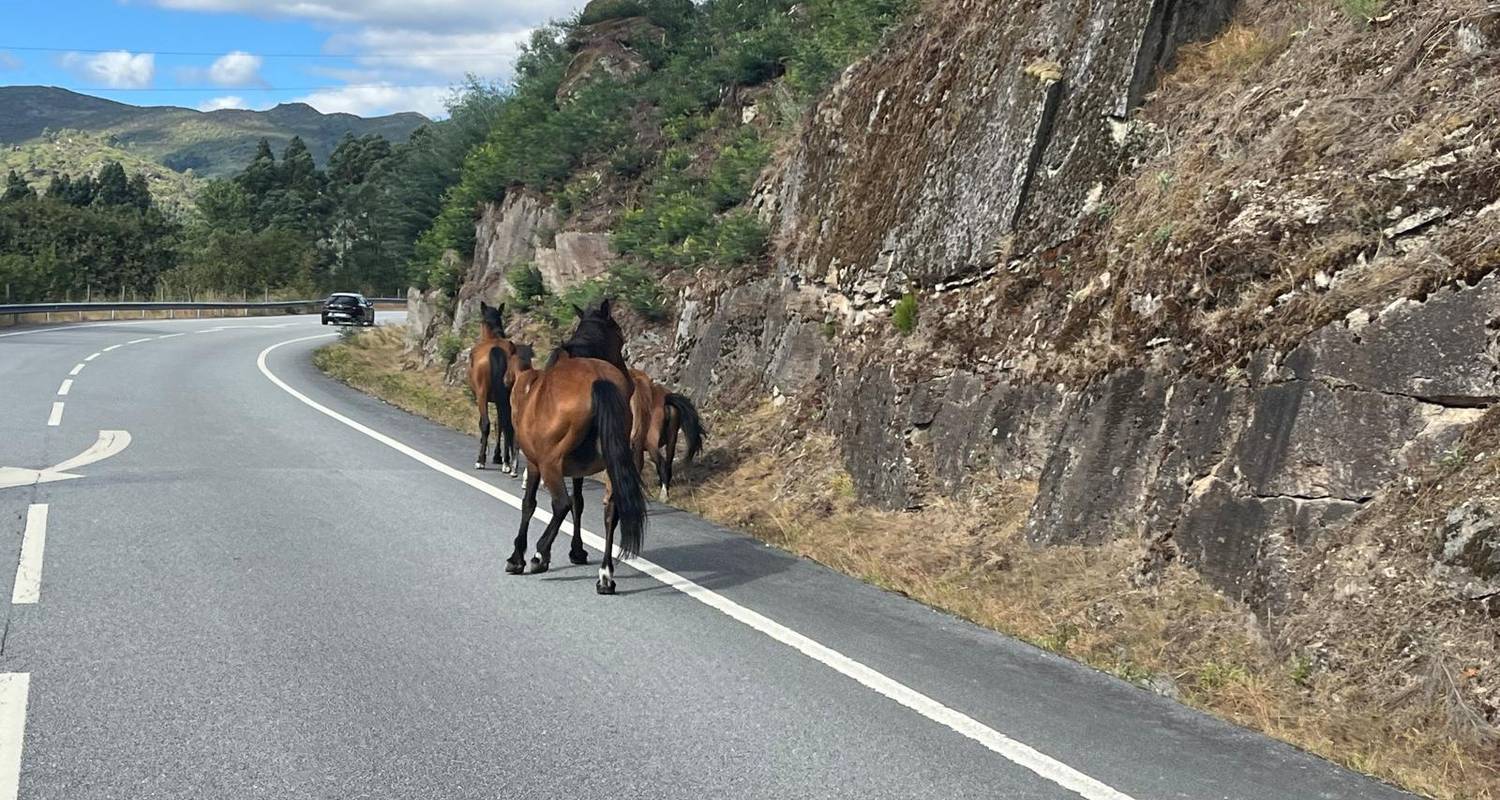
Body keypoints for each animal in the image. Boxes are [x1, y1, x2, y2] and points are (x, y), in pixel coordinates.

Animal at [630, 367, 705, 498]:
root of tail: (665, 400)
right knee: (668, 463)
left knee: (661, 463)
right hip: (671, 438)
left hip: (651, 442)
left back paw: (663, 494)